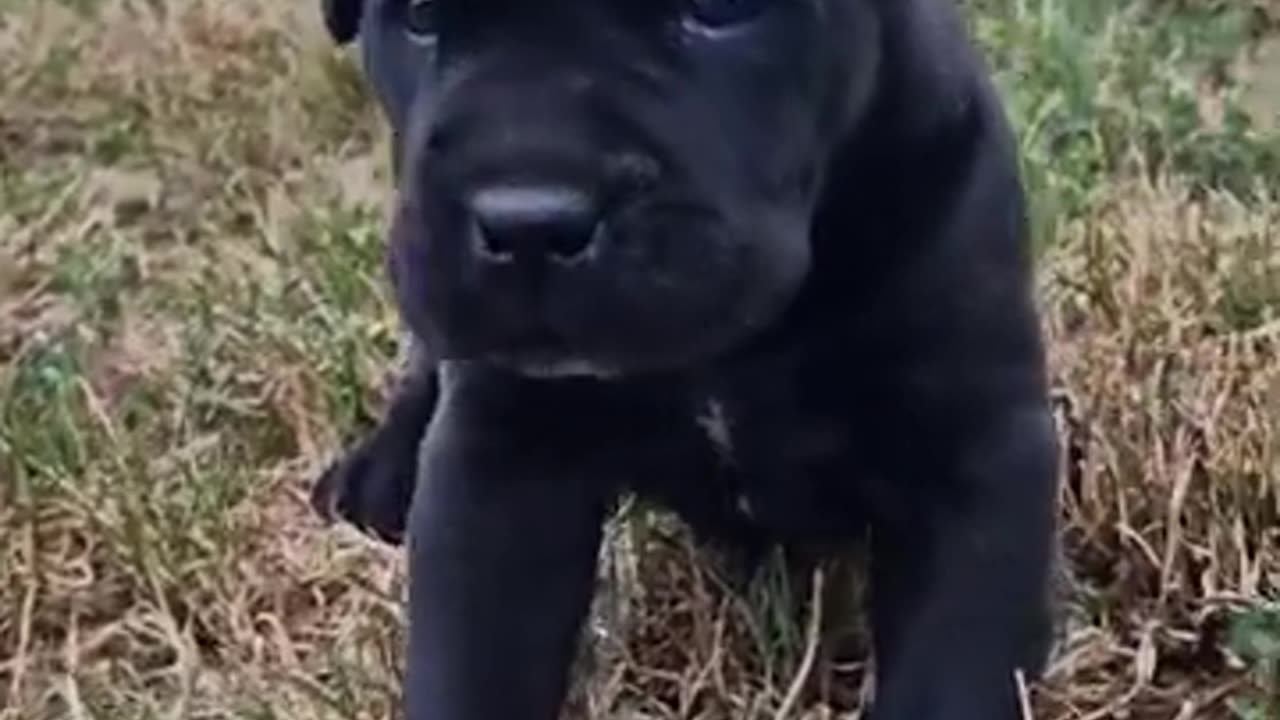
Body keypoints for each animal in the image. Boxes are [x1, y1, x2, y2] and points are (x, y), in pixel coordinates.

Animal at [309, 1, 1059, 717]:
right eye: (421, 17)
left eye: (723, 9)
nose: (528, 223)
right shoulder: (502, 460)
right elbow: (472, 662)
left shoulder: (976, 450)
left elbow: (951, 672)